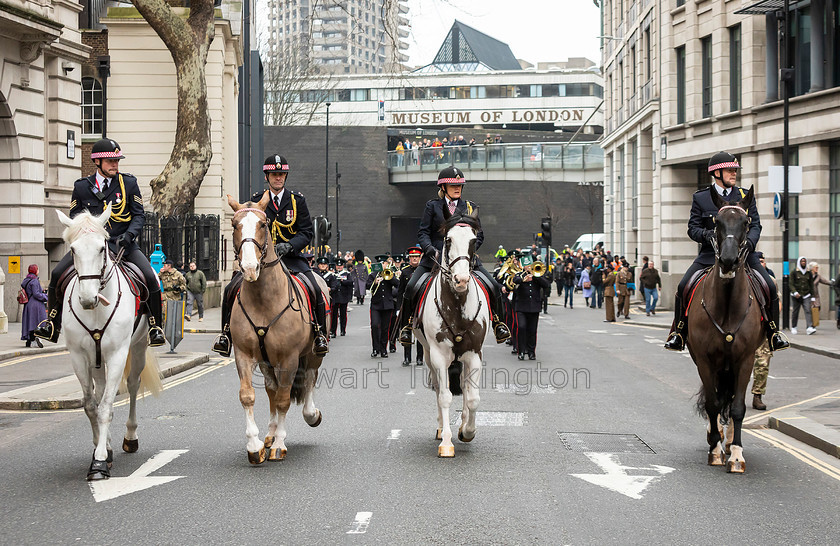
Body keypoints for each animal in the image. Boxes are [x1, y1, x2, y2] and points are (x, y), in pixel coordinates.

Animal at [57, 206, 161, 478]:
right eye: (73, 249)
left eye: (101, 248)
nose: (87, 298)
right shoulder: (79, 356)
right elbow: (91, 405)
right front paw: (101, 450)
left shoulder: (117, 354)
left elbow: (106, 407)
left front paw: (100, 462)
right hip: (97, 359)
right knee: (101, 391)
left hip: (137, 348)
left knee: (133, 385)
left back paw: (130, 437)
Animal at [226, 192, 324, 464]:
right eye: (234, 225)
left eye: (263, 224)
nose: (250, 268)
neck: (263, 299)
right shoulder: (244, 354)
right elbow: (249, 395)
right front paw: (255, 445)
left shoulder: (289, 358)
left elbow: (283, 400)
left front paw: (279, 443)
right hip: (266, 361)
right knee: (271, 389)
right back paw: (269, 434)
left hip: (312, 354)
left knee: (308, 379)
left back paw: (310, 414)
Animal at [416, 207, 492, 454]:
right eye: (447, 240)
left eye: (473, 241)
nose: (461, 280)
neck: (458, 305)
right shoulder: (439, 356)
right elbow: (445, 397)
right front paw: (447, 441)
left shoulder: (474, 354)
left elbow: (473, 397)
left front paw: (467, 431)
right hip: (428, 355)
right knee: (439, 388)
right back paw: (442, 429)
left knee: (466, 388)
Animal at [684, 185, 764, 470]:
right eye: (716, 222)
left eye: (746, 222)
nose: (729, 261)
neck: (728, 305)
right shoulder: (705, 360)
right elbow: (712, 403)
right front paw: (715, 449)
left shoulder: (745, 359)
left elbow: (737, 406)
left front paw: (737, 454)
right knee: (718, 399)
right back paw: (715, 436)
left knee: (728, 400)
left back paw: (728, 440)